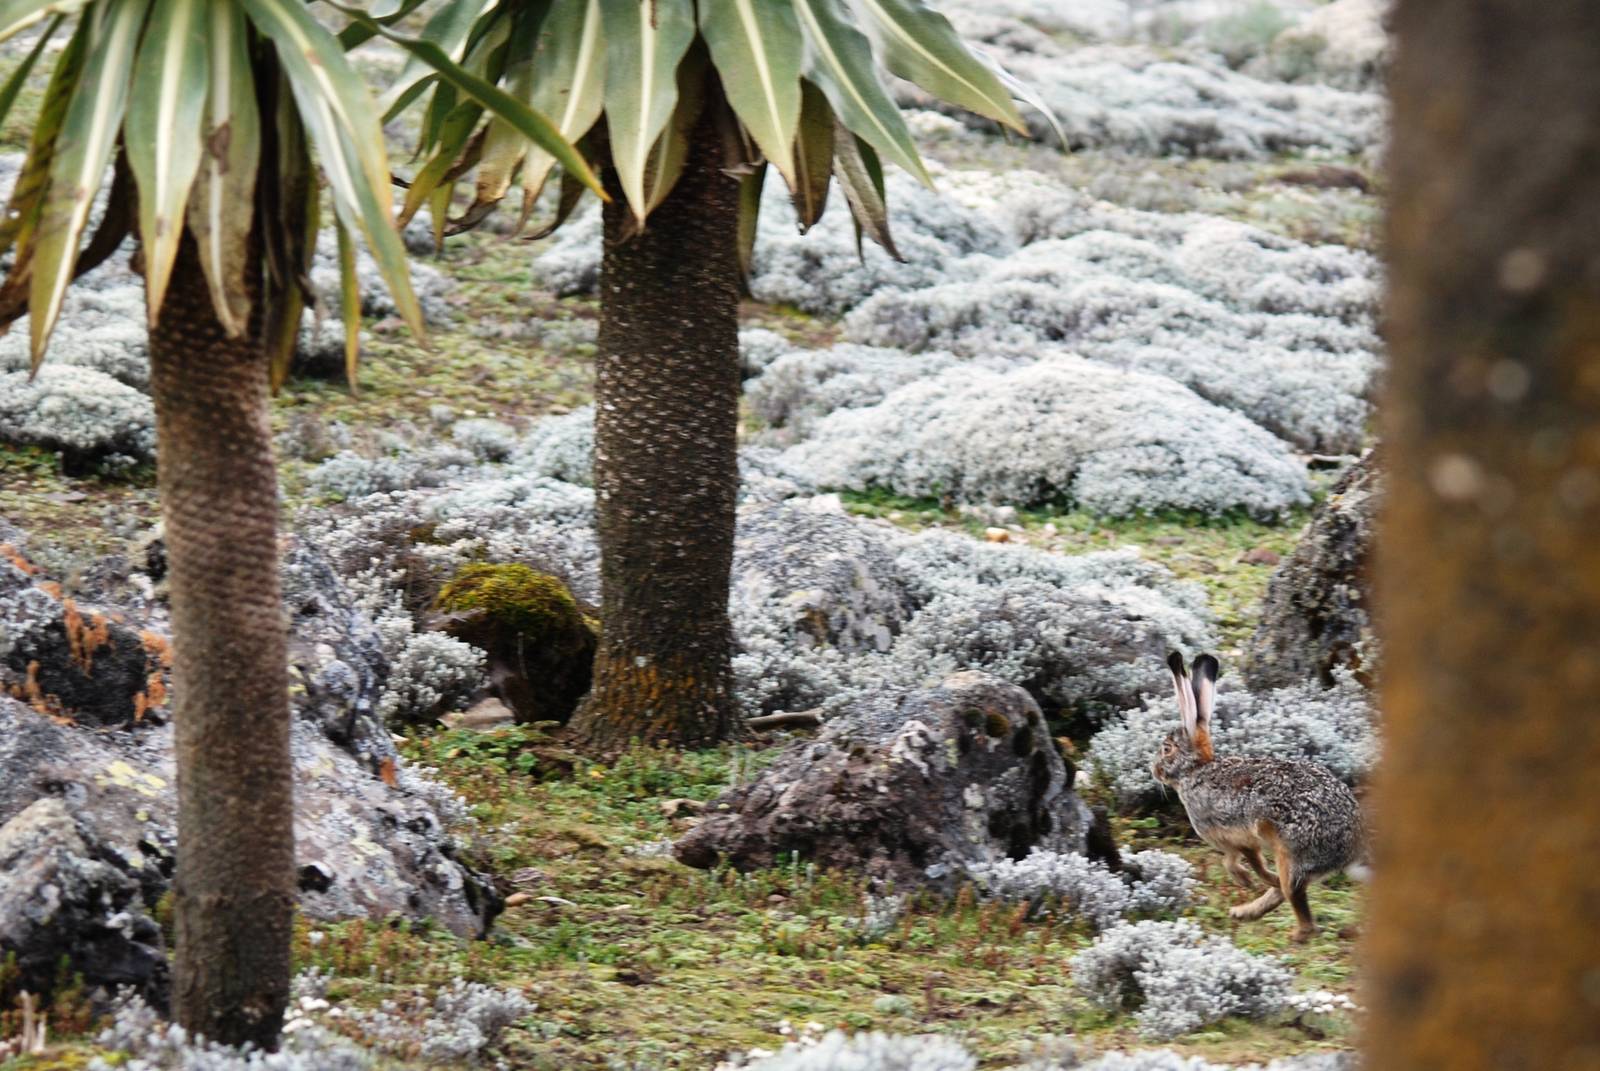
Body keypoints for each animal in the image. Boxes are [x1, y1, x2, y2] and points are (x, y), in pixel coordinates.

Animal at [1152, 652, 1365, 943]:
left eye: (1166, 749)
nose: (1155, 770)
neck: (1196, 770)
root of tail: (1350, 846)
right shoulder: (1235, 843)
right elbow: (1231, 860)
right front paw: (1245, 881)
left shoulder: (1239, 835)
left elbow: (1244, 861)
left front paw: (1247, 880)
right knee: (1286, 892)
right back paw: (1244, 913)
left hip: (1290, 853)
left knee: (1294, 897)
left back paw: (1294, 932)